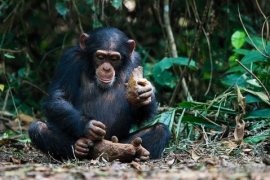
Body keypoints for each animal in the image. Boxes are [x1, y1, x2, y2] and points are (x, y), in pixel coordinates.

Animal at [28, 26, 171, 160]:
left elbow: (139, 115)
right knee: (38, 127)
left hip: (121, 139)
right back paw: (81, 146)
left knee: (160, 130)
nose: (106, 68)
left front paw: (145, 93)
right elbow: (59, 98)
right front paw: (88, 125)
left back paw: (135, 151)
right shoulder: (69, 60)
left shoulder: (136, 61)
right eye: (100, 57)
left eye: (114, 59)